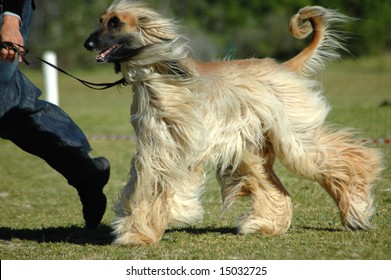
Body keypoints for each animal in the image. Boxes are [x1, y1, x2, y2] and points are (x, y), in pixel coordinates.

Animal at [85, 0, 382, 245]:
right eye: (100, 20)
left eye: (115, 22)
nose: (88, 45)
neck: (157, 76)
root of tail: (283, 67)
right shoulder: (156, 142)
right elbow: (147, 182)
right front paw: (143, 227)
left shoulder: (174, 145)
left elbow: (156, 183)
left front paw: (139, 232)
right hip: (251, 148)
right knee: (272, 185)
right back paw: (265, 224)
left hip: (294, 133)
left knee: (348, 157)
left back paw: (355, 211)